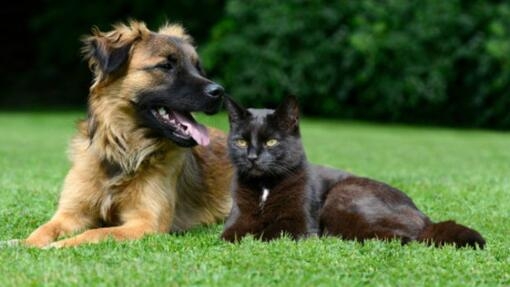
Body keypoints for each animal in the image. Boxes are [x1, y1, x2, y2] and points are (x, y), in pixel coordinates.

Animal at [18, 20, 233, 250]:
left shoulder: (146, 223)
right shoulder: (71, 214)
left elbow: (96, 233)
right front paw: (23, 243)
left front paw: (60, 245)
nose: (219, 92)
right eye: (166, 66)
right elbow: (43, 229)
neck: (123, 152)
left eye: (197, 67)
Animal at [220, 96, 486, 250]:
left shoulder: (300, 224)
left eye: (272, 142)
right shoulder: (236, 221)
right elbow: (233, 235)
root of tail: (424, 216)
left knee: (404, 237)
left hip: (344, 195)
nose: (252, 157)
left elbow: (269, 233)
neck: (264, 187)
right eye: (241, 142)